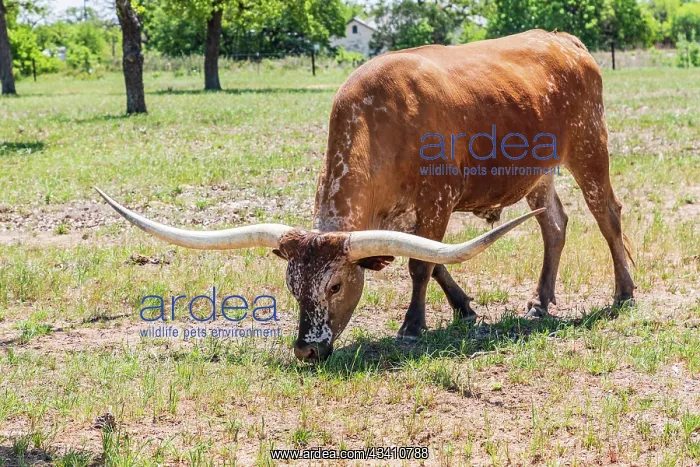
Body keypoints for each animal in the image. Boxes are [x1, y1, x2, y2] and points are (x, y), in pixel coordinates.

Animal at [98, 29, 635, 361]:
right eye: (291, 285)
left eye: (336, 286)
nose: (307, 349)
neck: (382, 122)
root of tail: (565, 41)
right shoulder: (397, 219)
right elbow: (436, 260)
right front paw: (464, 308)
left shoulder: (437, 200)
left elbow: (421, 264)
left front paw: (412, 326)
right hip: (537, 174)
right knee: (554, 225)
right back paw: (540, 301)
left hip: (590, 147)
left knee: (607, 216)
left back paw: (624, 292)